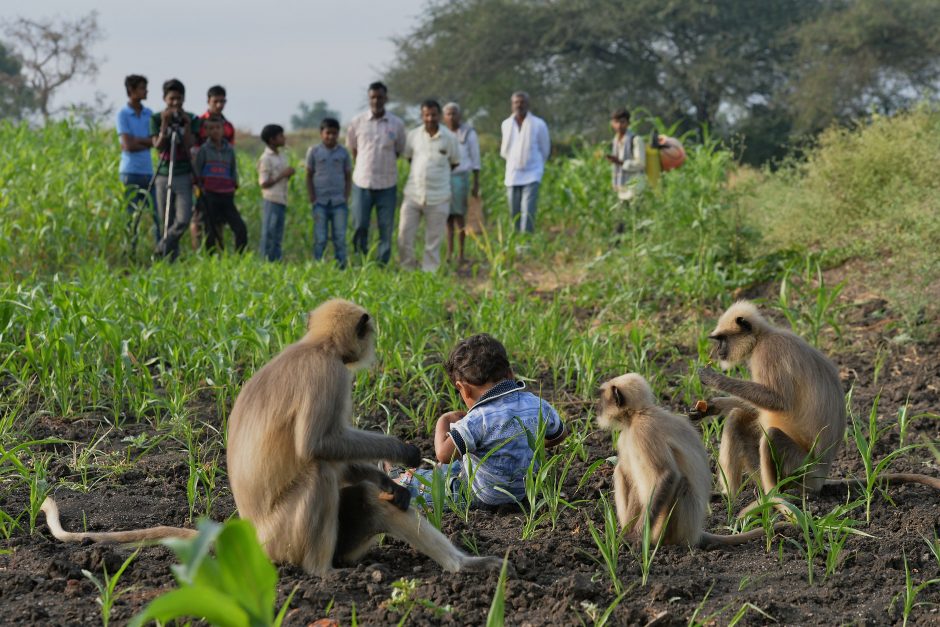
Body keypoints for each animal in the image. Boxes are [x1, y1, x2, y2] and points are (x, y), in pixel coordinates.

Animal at [227, 300, 504, 576]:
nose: (371, 343)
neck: (316, 346)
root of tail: (257, 545)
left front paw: (388, 481)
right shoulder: (331, 373)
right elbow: (316, 445)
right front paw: (401, 451)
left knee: (367, 496)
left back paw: (463, 564)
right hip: (282, 539)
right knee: (321, 470)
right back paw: (322, 571)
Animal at [600, 372, 788, 548]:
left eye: (603, 397)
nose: (598, 409)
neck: (639, 413)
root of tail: (695, 533)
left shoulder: (643, 429)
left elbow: (667, 475)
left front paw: (635, 536)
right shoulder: (627, 435)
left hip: (673, 528)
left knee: (681, 483)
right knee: (622, 470)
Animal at [692, 300, 940, 510]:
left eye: (721, 340)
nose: (719, 352)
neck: (764, 336)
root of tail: (821, 477)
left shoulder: (769, 352)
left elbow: (778, 401)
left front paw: (715, 380)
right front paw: (712, 406)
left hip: (803, 469)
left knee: (772, 435)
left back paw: (775, 501)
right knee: (737, 419)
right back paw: (729, 498)